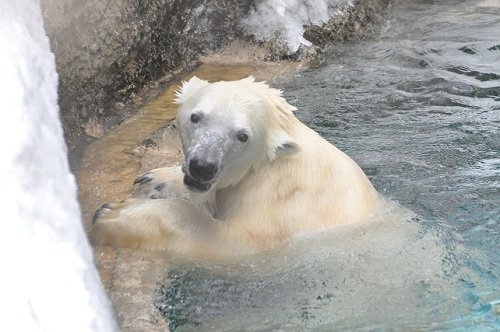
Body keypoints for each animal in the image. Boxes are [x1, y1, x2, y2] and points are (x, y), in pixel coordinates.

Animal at [91, 76, 378, 256]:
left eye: (242, 136)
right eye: (196, 117)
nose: (202, 167)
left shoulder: (280, 218)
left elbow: (229, 240)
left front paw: (111, 215)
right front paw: (155, 180)